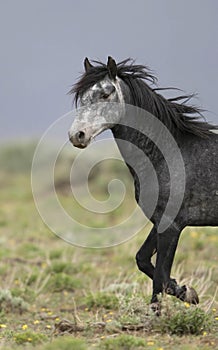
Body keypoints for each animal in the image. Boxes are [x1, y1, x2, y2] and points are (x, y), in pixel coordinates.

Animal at [68, 57, 218, 314]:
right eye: (82, 98)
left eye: (106, 94)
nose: (77, 135)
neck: (169, 154)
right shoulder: (159, 220)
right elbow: (144, 261)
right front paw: (189, 292)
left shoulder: (172, 225)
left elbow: (160, 278)